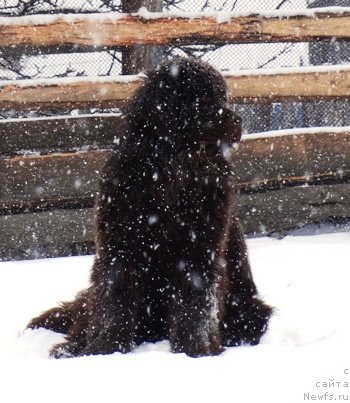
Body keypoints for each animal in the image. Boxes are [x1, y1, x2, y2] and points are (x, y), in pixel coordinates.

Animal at [28, 56, 274, 356]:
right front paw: (104, 349)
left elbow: (197, 302)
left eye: (222, 98)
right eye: (205, 102)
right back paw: (69, 348)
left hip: (249, 308)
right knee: (85, 317)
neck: (172, 171)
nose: (239, 121)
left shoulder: (200, 247)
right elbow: (113, 300)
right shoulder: (119, 243)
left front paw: (196, 349)